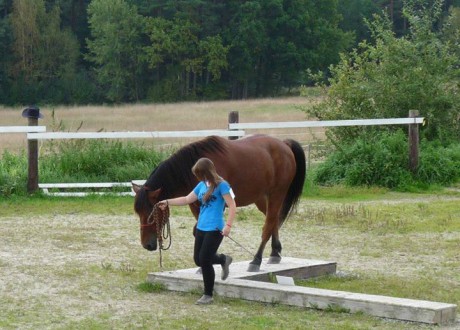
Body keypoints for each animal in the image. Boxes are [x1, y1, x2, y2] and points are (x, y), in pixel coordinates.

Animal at [132, 133, 306, 270]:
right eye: (138, 212)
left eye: (151, 215)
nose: (147, 245)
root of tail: (284, 144)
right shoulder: (196, 206)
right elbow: (199, 231)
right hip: (262, 198)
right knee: (273, 220)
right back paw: (275, 253)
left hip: (277, 194)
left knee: (268, 225)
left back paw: (256, 260)